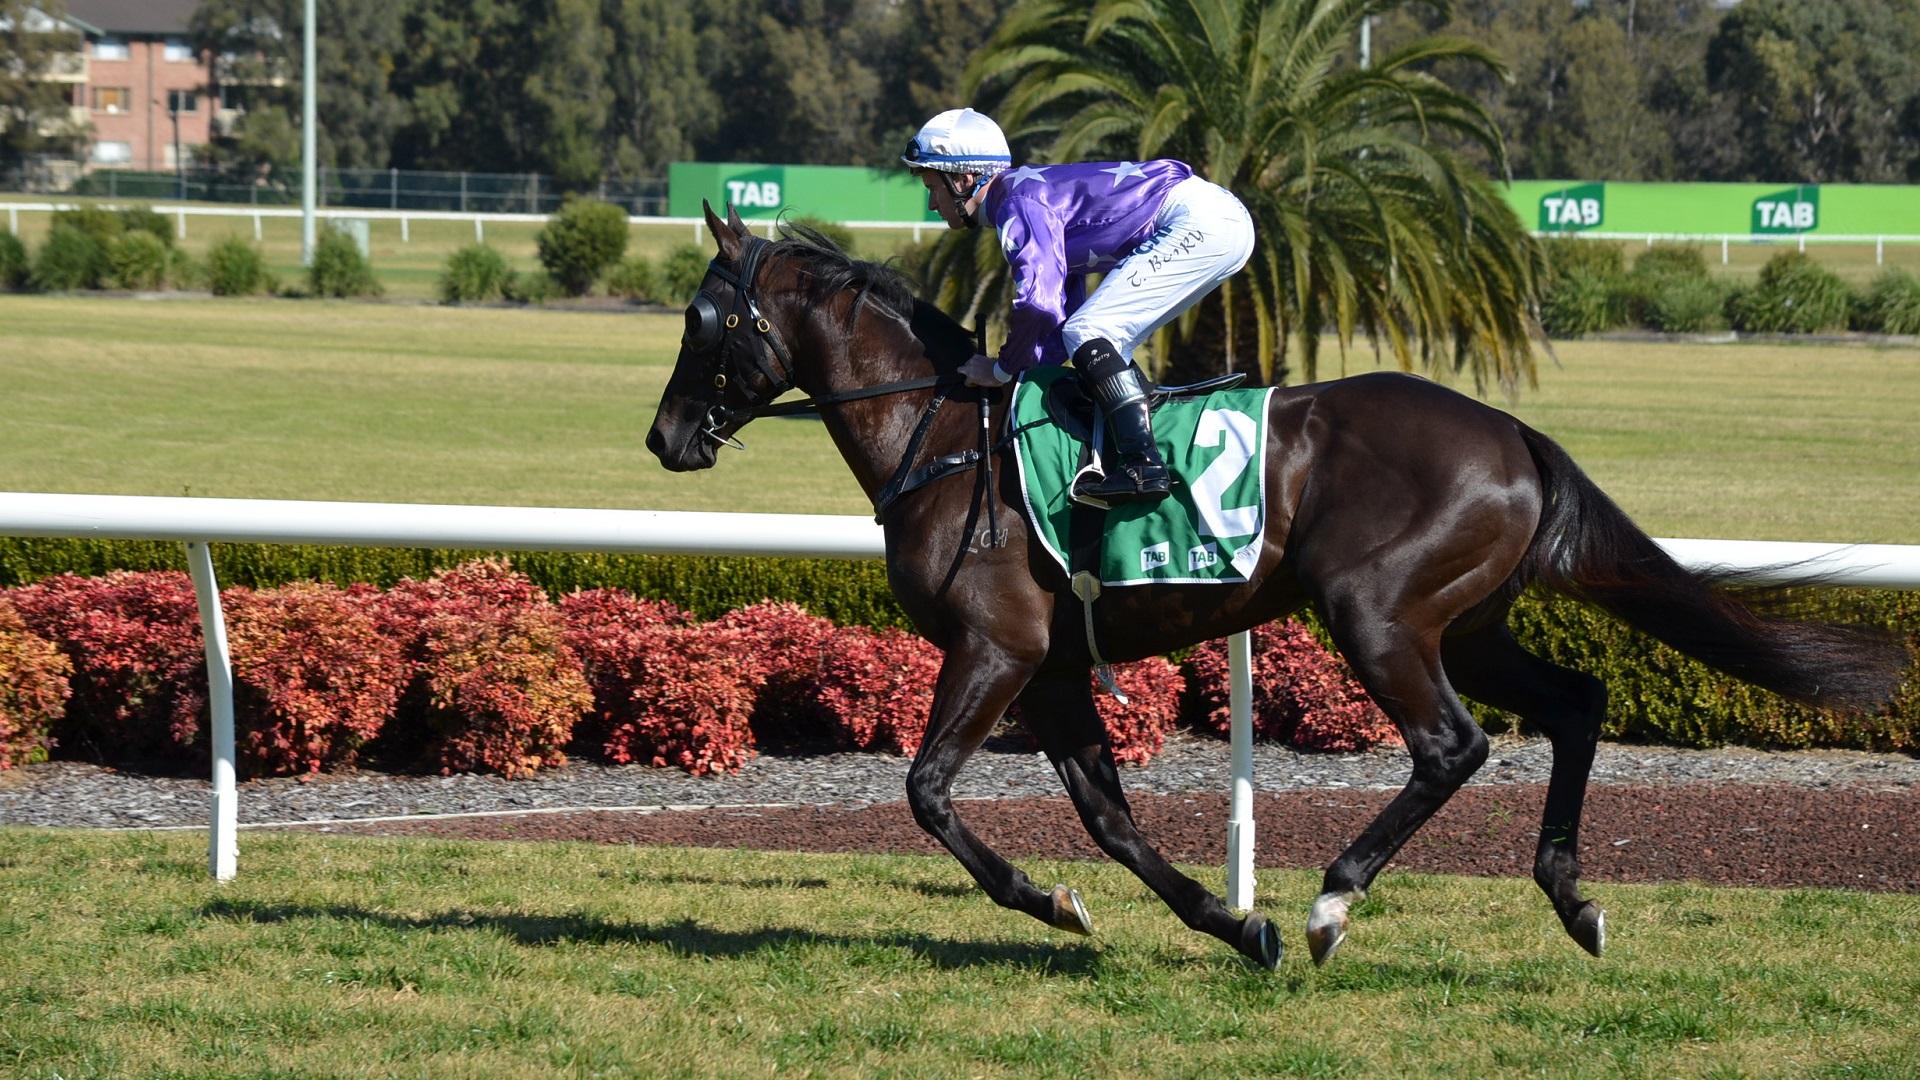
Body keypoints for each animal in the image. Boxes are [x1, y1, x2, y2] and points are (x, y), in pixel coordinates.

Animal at [645, 202, 1909, 971]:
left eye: (701, 318)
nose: (664, 439)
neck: (946, 436)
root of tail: (1513, 432)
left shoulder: (996, 647)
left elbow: (927, 793)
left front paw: (1068, 901)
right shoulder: (1051, 666)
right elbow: (1109, 820)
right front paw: (1217, 921)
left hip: (1379, 614)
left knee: (1453, 745)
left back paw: (1332, 901)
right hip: (1468, 620)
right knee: (1579, 702)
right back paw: (1574, 898)